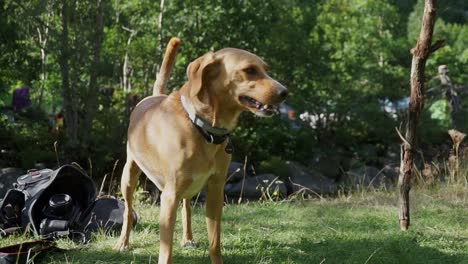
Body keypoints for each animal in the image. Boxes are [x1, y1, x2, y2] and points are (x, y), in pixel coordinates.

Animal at [114, 37, 288, 264]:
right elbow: (166, 250)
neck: (202, 129)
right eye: (249, 70)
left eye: (266, 70)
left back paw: (187, 237)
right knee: (128, 210)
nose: (285, 92)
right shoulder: (169, 197)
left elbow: (215, 243)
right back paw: (123, 243)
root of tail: (154, 96)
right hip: (129, 175)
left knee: (187, 207)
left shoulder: (215, 191)